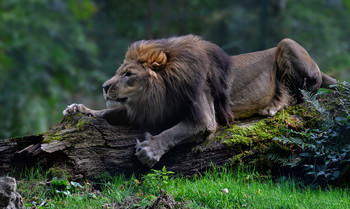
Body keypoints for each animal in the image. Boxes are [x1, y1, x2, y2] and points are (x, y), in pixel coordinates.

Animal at [63, 35, 336, 167]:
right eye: (119, 72)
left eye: (128, 74)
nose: (104, 87)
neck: (157, 93)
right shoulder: (146, 111)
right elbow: (107, 113)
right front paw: (78, 109)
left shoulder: (203, 116)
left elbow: (175, 131)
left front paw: (149, 150)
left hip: (288, 46)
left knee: (296, 94)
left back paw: (272, 107)